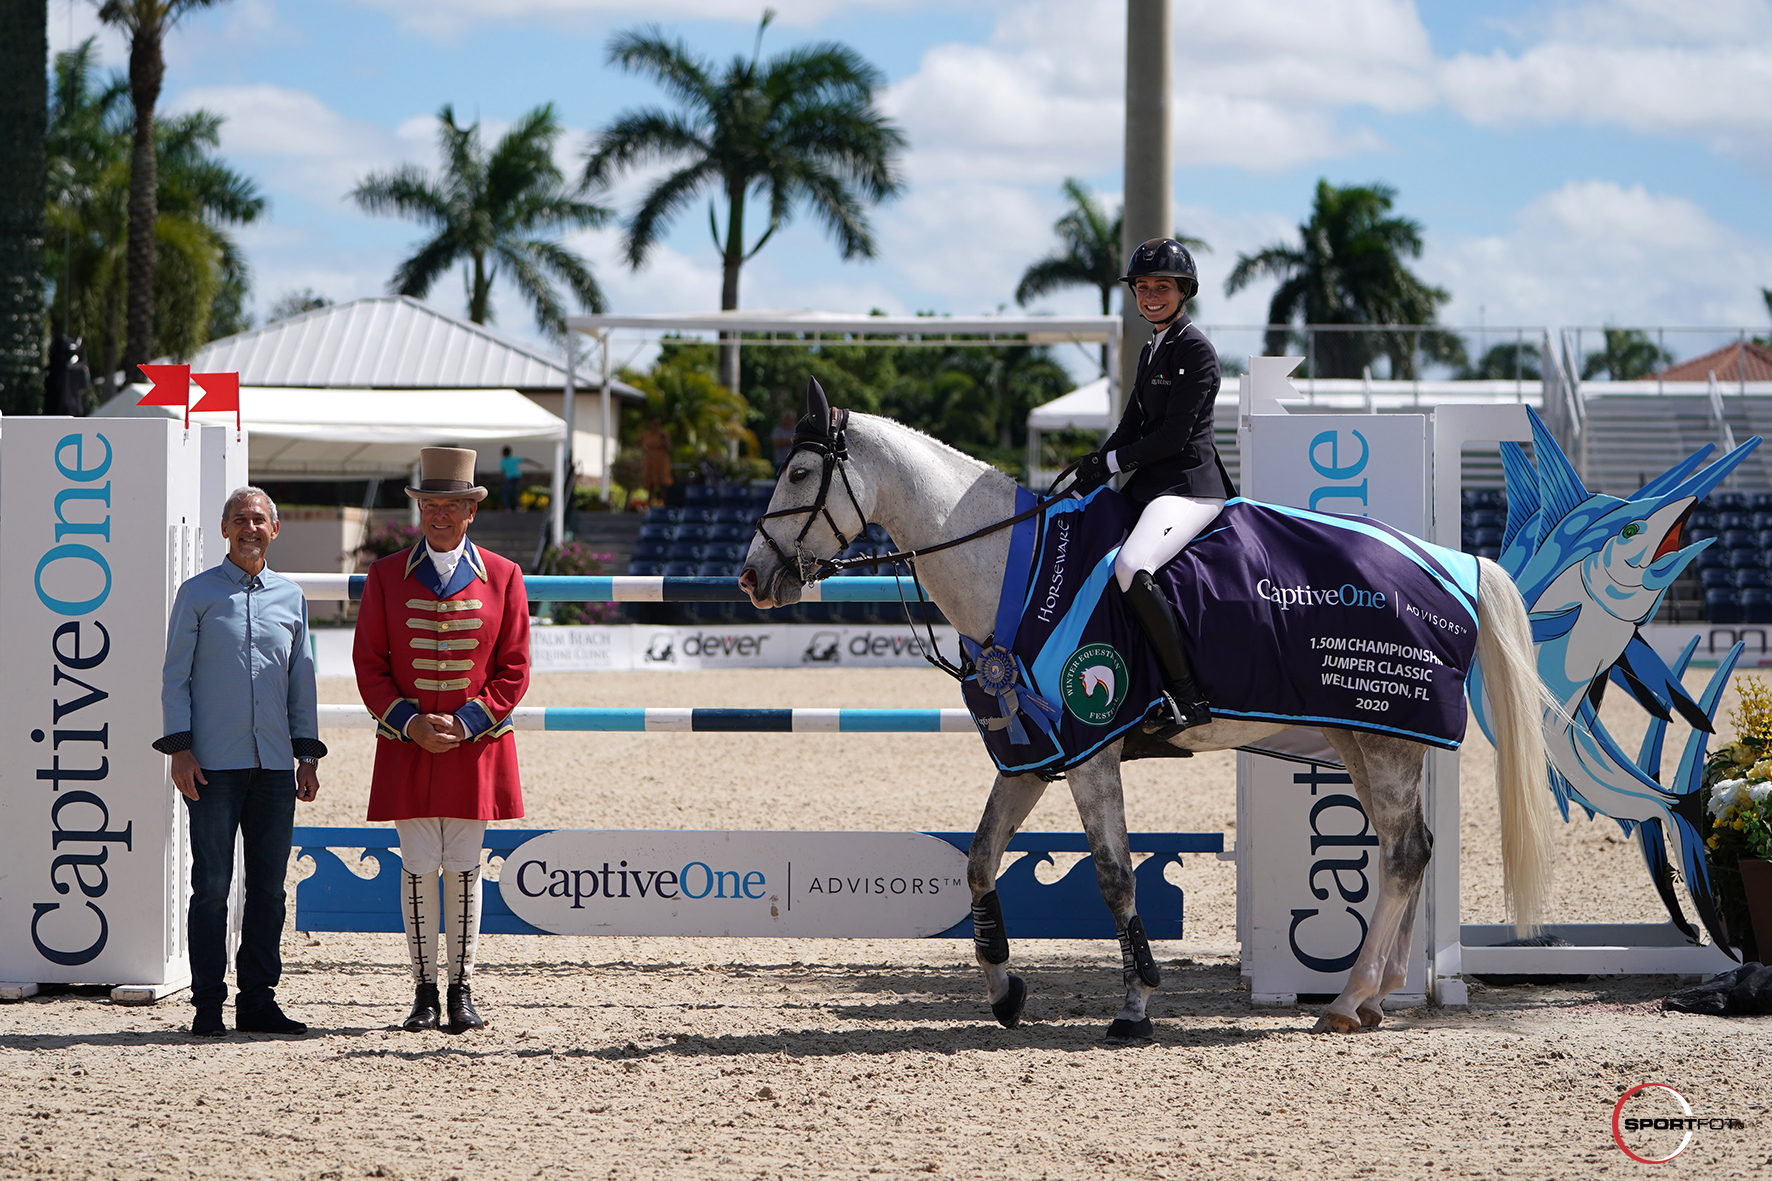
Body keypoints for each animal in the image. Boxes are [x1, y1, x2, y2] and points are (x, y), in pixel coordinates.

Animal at [733, 393, 1552, 1028]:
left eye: (800, 472)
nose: (751, 576)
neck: (1011, 566)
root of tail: (1456, 564)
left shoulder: (1091, 748)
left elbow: (1114, 875)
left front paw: (1134, 1006)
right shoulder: (1036, 753)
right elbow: (978, 860)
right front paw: (1004, 991)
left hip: (1384, 740)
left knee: (1406, 851)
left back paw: (1351, 999)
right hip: (1366, 735)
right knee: (1402, 848)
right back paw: (1375, 996)